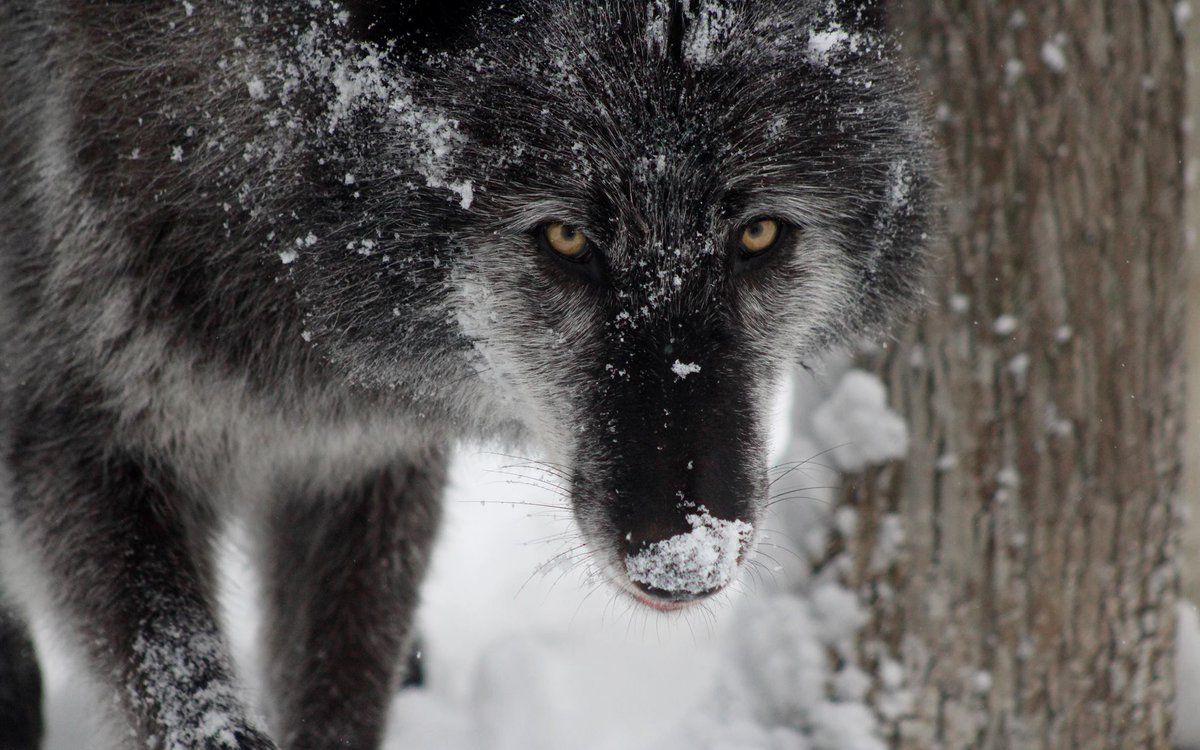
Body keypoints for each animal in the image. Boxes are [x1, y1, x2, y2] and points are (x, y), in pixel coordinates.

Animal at [0, 0, 931, 744]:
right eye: (565, 237)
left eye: (759, 234)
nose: (684, 561)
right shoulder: (75, 438)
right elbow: (177, 684)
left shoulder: (360, 460)